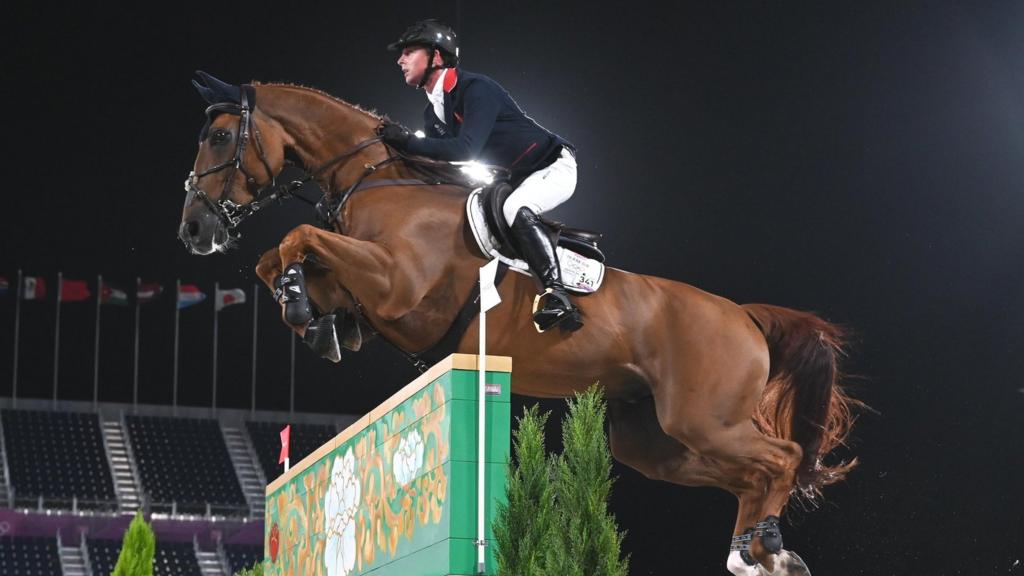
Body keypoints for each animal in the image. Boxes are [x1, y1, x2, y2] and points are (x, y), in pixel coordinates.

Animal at [180, 71, 860, 573]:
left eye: (220, 139)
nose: (195, 230)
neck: (380, 181)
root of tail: (743, 315)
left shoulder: (397, 284)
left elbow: (296, 236)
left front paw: (302, 305)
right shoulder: (365, 282)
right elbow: (282, 258)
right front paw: (313, 316)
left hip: (703, 418)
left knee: (780, 457)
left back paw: (766, 547)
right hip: (656, 440)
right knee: (750, 473)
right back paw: (758, 553)